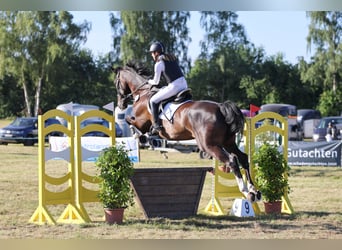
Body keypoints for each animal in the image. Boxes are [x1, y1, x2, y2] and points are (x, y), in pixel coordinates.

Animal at [113, 61, 262, 202]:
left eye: (116, 82)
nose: (121, 104)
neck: (142, 93)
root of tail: (220, 107)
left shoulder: (141, 122)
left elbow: (129, 121)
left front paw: (138, 135)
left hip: (208, 145)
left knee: (232, 160)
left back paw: (245, 191)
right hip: (228, 142)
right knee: (243, 158)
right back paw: (254, 191)